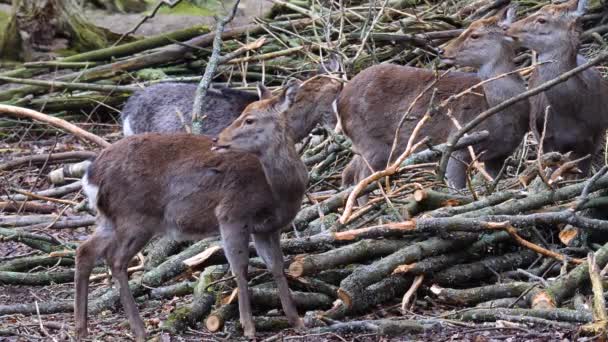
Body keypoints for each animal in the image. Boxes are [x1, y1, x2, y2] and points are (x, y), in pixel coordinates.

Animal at [76, 79, 308, 340]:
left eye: (250, 119)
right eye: (241, 114)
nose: (218, 139)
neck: (277, 192)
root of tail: (91, 175)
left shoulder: (268, 228)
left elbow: (278, 266)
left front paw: (297, 321)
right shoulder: (232, 213)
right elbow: (240, 267)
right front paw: (248, 327)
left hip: (110, 218)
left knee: (85, 250)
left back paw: (81, 328)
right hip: (135, 217)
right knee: (115, 260)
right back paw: (139, 330)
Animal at [340, 6, 528, 190]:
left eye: (475, 35)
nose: (441, 50)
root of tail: (340, 101)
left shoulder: (500, 154)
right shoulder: (458, 143)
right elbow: (456, 187)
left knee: (349, 172)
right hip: (371, 143)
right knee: (361, 179)